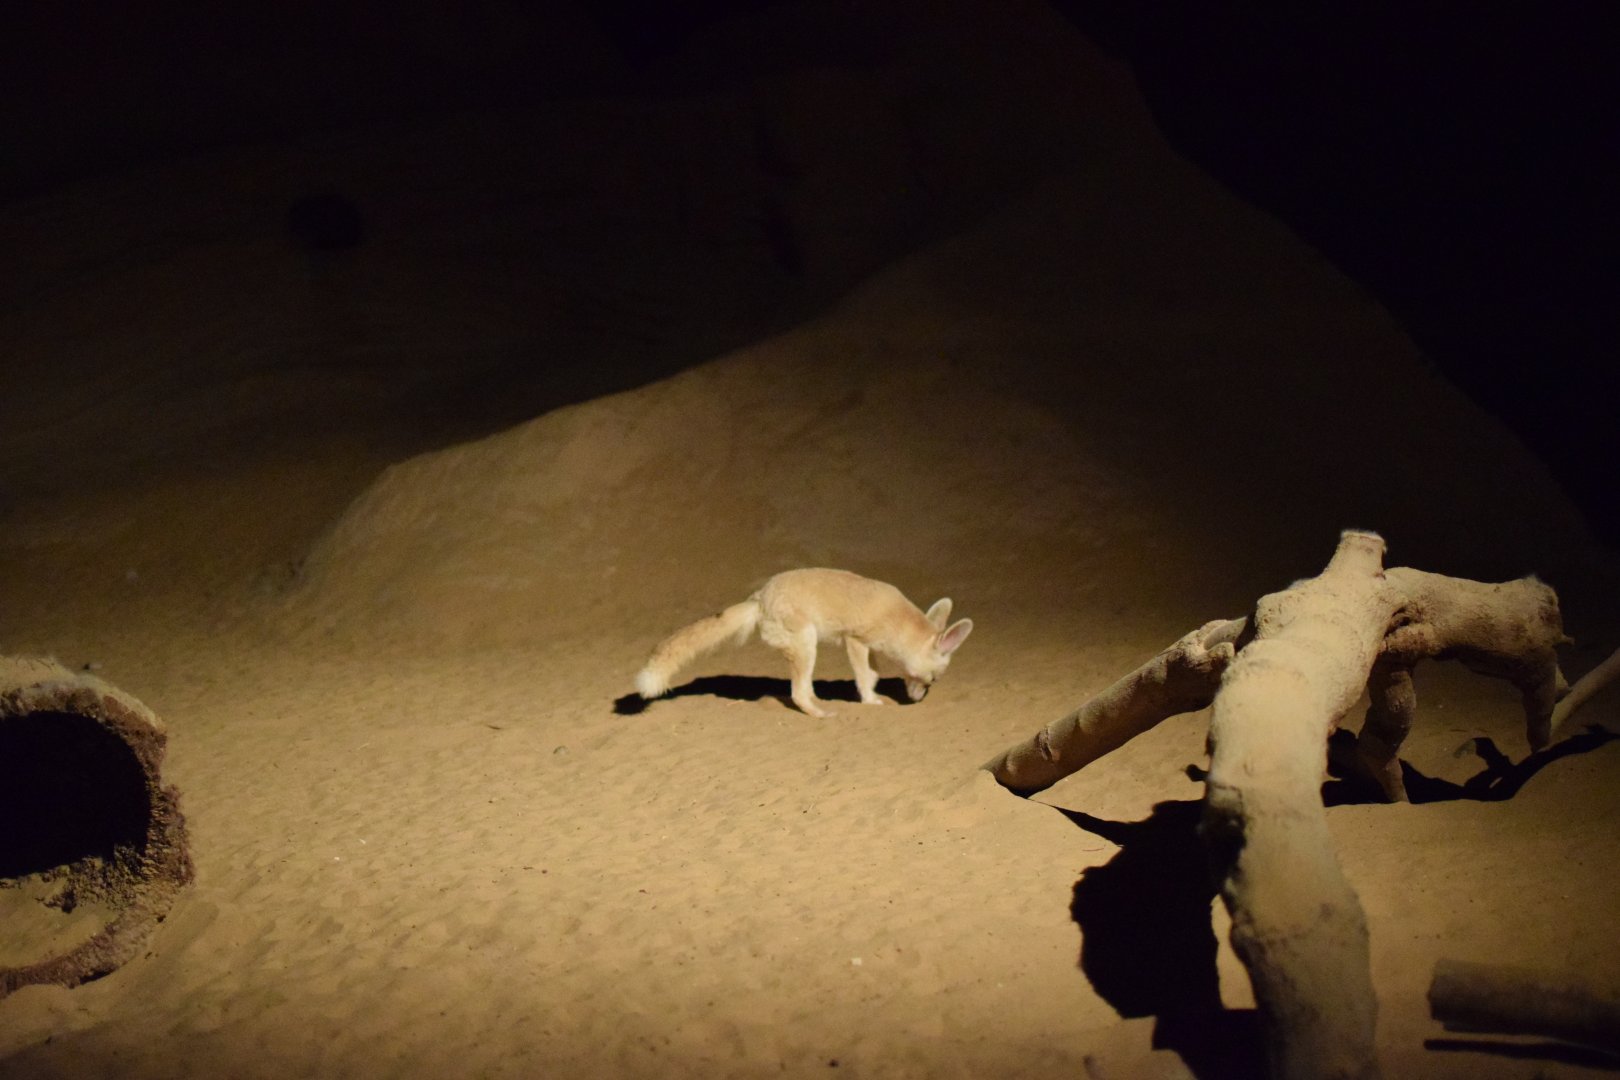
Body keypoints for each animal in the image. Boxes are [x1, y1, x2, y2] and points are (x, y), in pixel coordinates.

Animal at [634, 568, 974, 718]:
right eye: (933, 679)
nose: (918, 702)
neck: (899, 621)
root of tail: (759, 598)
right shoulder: (855, 640)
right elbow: (865, 676)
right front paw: (870, 701)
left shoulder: (869, 648)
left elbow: (873, 672)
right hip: (807, 643)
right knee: (797, 693)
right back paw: (820, 713)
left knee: (802, 689)